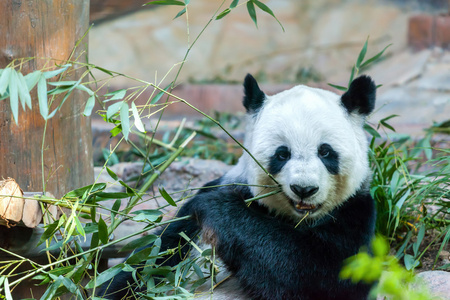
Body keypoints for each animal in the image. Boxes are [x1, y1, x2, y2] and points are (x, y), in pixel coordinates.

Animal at [98, 74, 376, 298]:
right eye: (282, 154)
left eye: (325, 152)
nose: (304, 189)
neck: (295, 219)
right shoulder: (188, 222)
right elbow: (146, 265)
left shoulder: (354, 212)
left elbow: (318, 275)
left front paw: (218, 209)